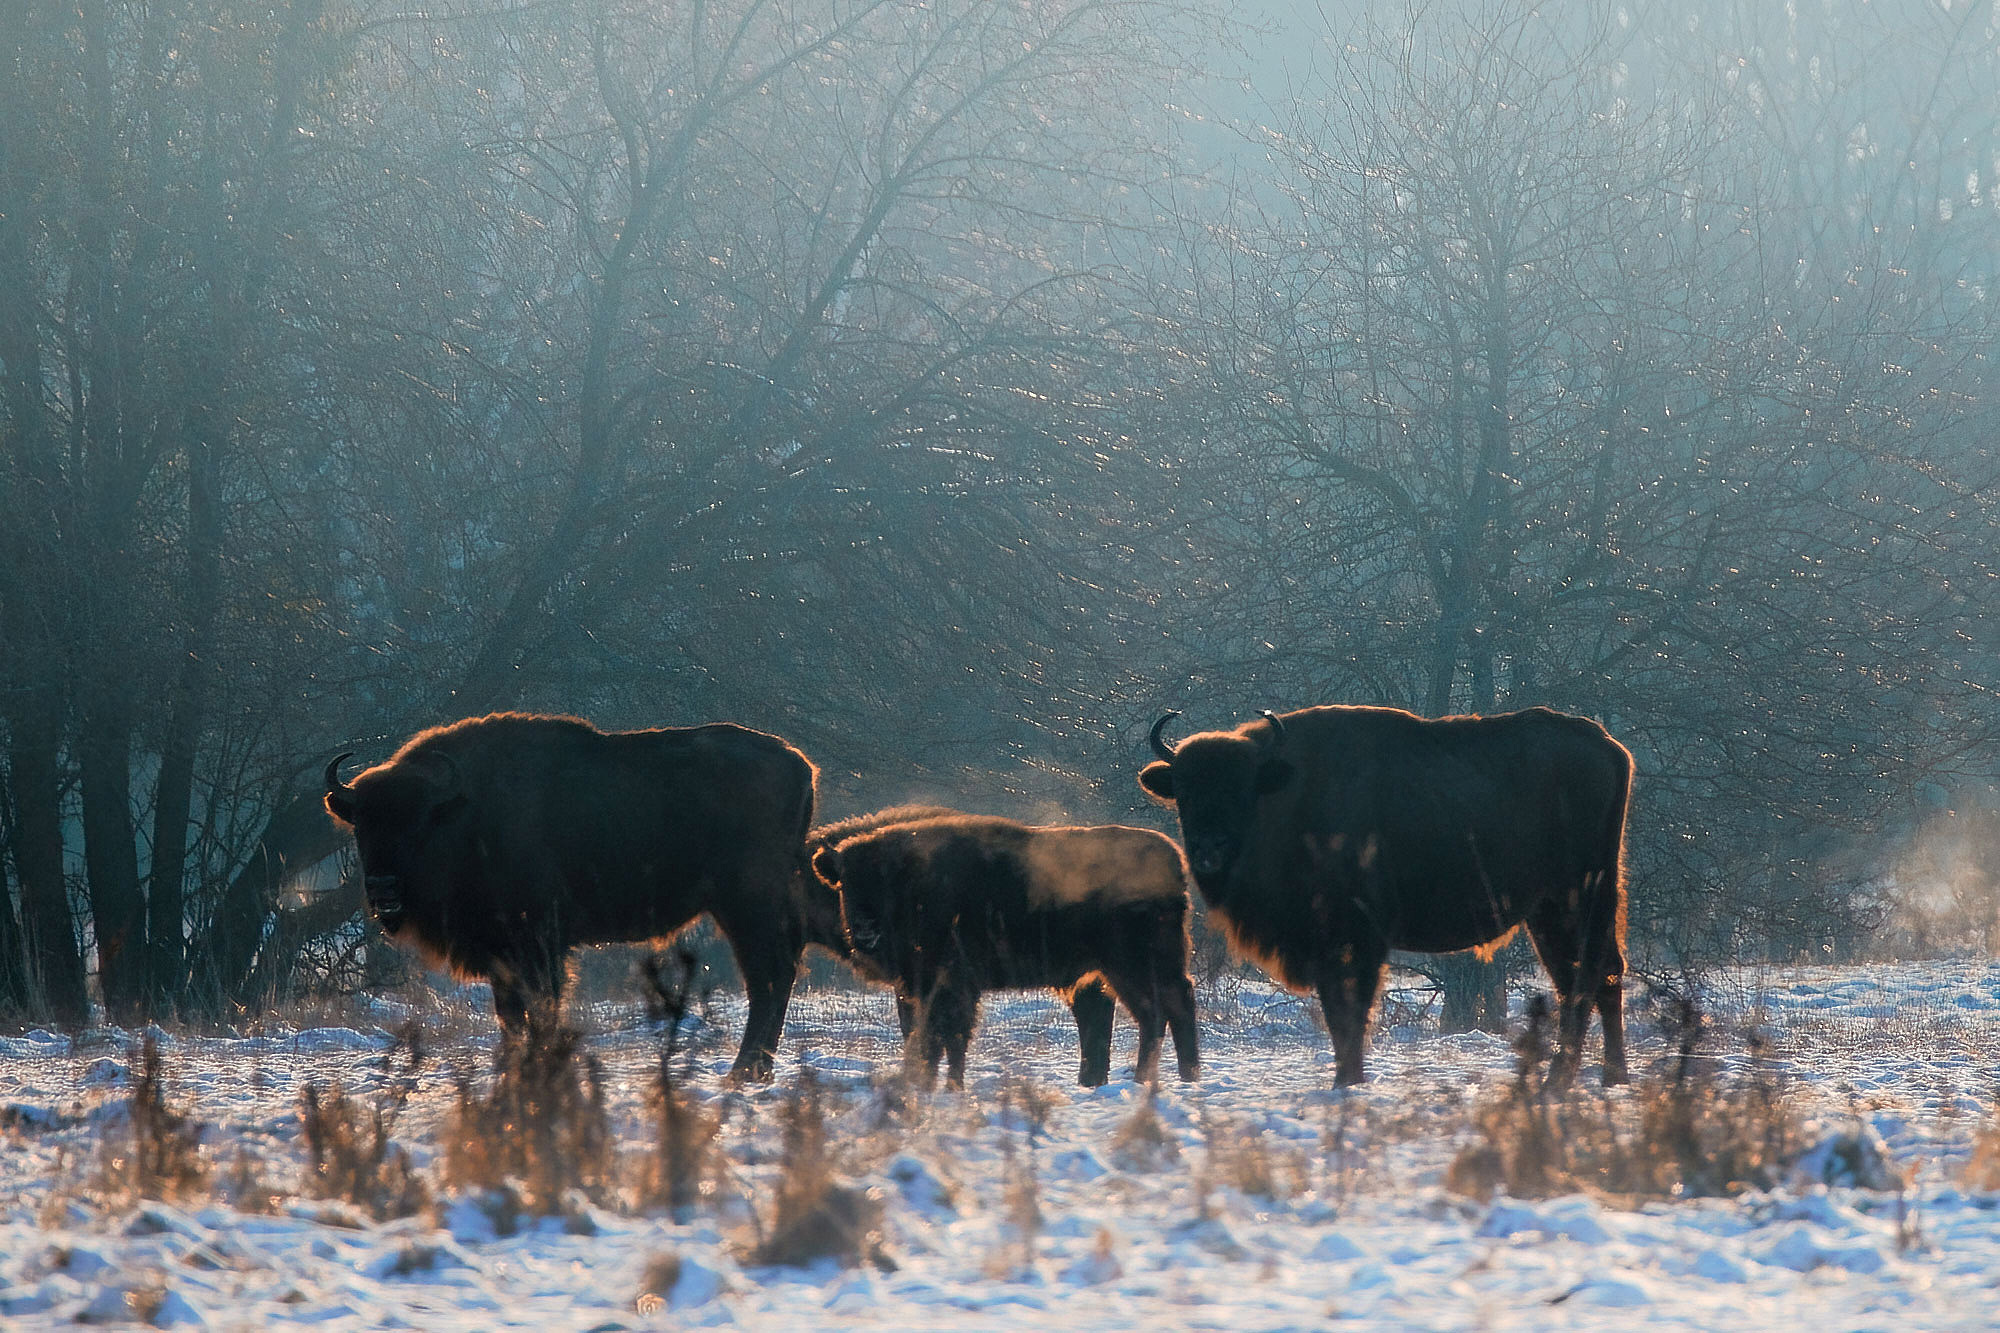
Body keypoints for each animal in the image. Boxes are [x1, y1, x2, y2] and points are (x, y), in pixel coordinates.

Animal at [324, 712, 816, 1072]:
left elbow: (541, 1006)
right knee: (773, 977)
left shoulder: (539, 944)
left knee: (769, 976)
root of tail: (799, 764)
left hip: (746, 906)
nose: (383, 887)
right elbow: (510, 1014)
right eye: (362, 823)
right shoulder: (503, 954)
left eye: (420, 822)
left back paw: (745, 1071)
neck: (465, 812)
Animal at [804, 816, 1192, 1088]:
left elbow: (948, 1036)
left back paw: (1161, 1078)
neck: (917, 882)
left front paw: (948, 1086)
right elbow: (927, 1035)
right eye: (845, 883)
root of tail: (1174, 862)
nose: (865, 928)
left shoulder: (952, 984)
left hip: (1133, 967)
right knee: (1159, 1013)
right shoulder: (918, 986)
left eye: (886, 882)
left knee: (1163, 1011)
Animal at [1136, 700, 1632, 1088]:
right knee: (1591, 977)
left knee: (1590, 975)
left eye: (1242, 788)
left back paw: (1564, 1080)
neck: (1290, 792)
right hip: (1549, 911)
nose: (1208, 848)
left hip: (1579, 898)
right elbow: (1338, 1009)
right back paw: (1609, 1077)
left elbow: (1351, 1008)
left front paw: (1348, 1079)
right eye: (1183, 790)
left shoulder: (1358, 937)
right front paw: (1347, 1078)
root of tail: (1609, 746)